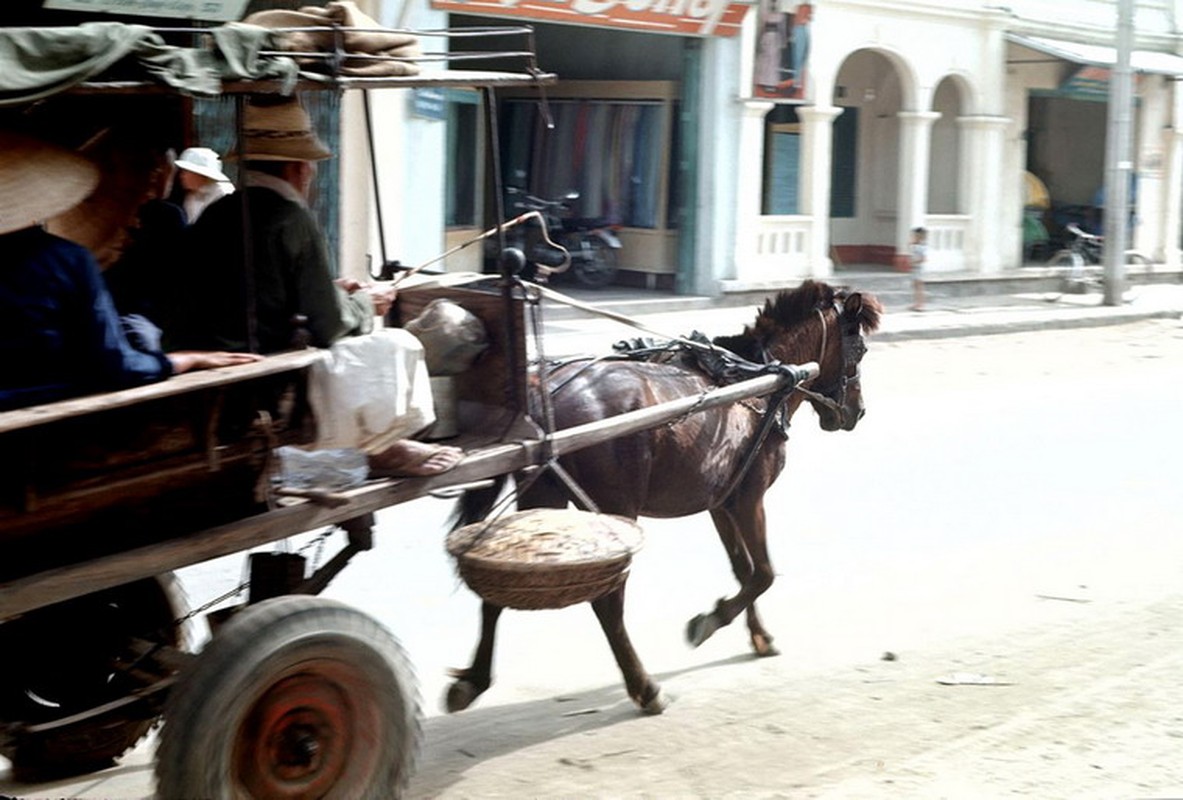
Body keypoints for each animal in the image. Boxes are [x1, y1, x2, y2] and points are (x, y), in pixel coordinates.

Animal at [447, 279, 884, 714]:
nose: (857, 412)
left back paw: (473, 679)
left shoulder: (722, 503)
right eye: (860, 349)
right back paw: (644, 687)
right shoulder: (749, 499)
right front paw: (710, 621)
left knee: (497, 588)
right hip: (612, 509)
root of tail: (544, 396)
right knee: (608, 603)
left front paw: (759, 636)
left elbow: (744, 571)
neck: (759, 381)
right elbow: (763, 573)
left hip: (542, 498)